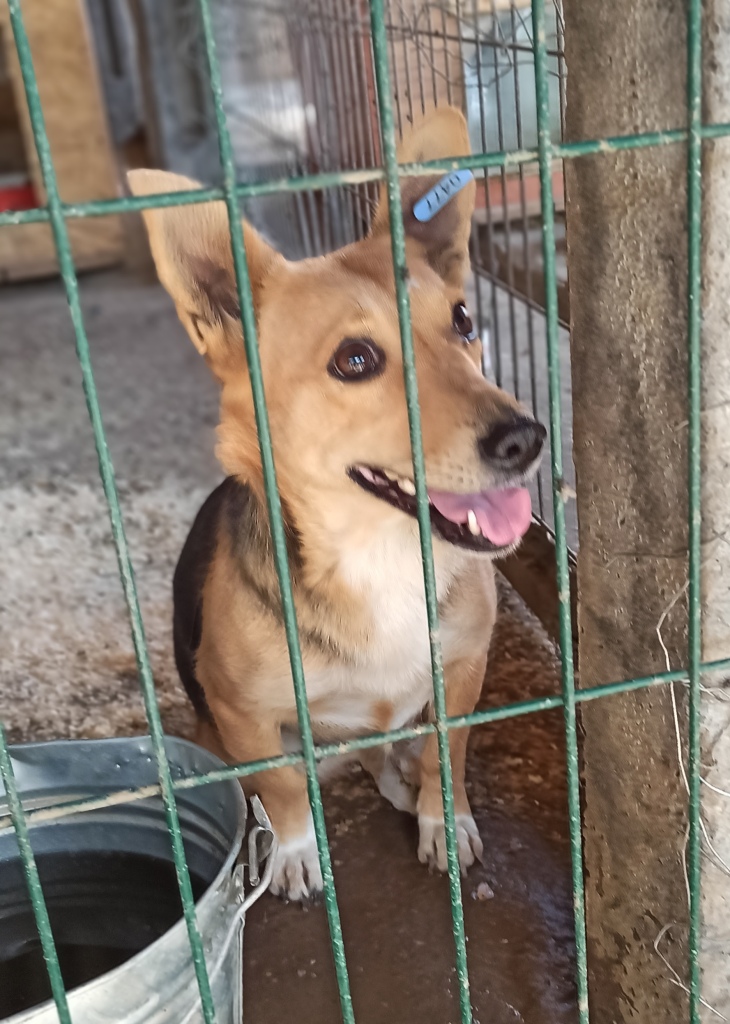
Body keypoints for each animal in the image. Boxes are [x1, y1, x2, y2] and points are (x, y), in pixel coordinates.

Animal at [128, 106, 545, 901]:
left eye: (464, 320)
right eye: (355, 360)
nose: (526, 438)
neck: (379, 560)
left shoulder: (463, 672)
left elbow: (449, 756)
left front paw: (445, 822)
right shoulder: (244, 714)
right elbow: (286, 788)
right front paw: (296, 852)